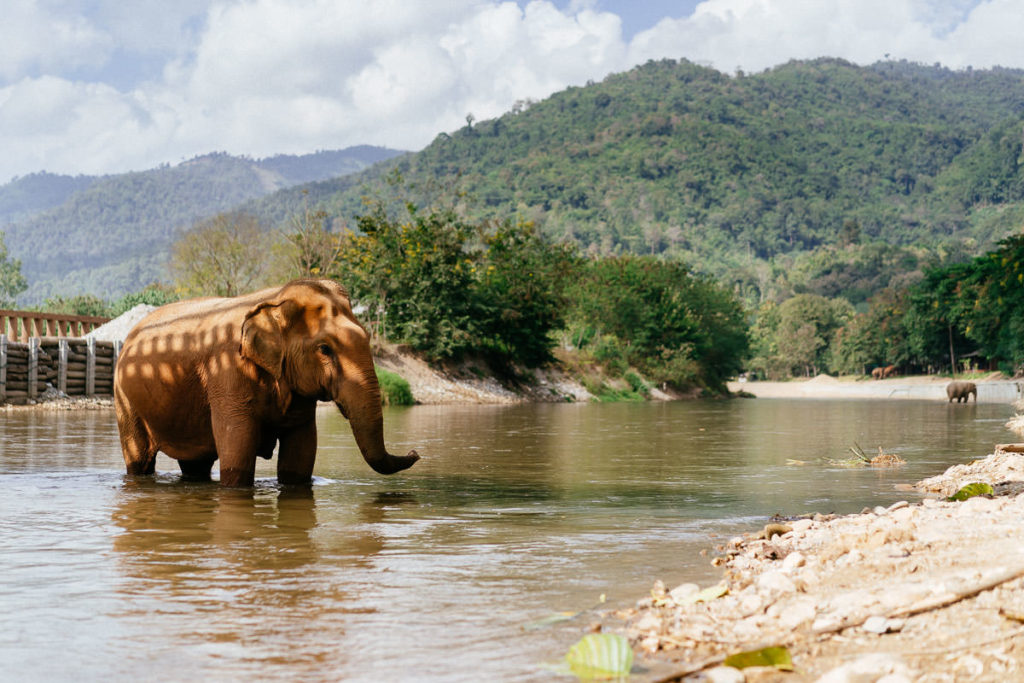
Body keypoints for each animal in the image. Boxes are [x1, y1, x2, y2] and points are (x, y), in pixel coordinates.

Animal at [114, 279, 420, 487]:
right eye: (324, 349)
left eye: (368, 338)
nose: (415, 452)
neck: (275, 298)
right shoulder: (227, 373)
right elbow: (238, 450)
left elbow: (300, 455)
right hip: (125, 399)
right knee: (139, 458)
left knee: (196, 465)